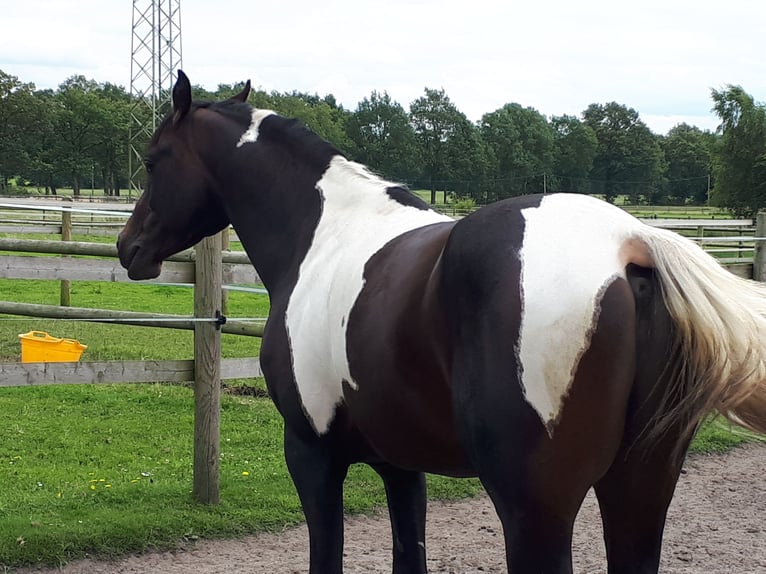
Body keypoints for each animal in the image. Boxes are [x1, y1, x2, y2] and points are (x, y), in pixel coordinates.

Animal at [117, 71, 766, 574]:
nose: (129, 249)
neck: (323, 236)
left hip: (537, 510)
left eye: (152, 160)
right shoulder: (401, 466)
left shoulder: (311, 452)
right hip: (640, 489)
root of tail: (628, 244)